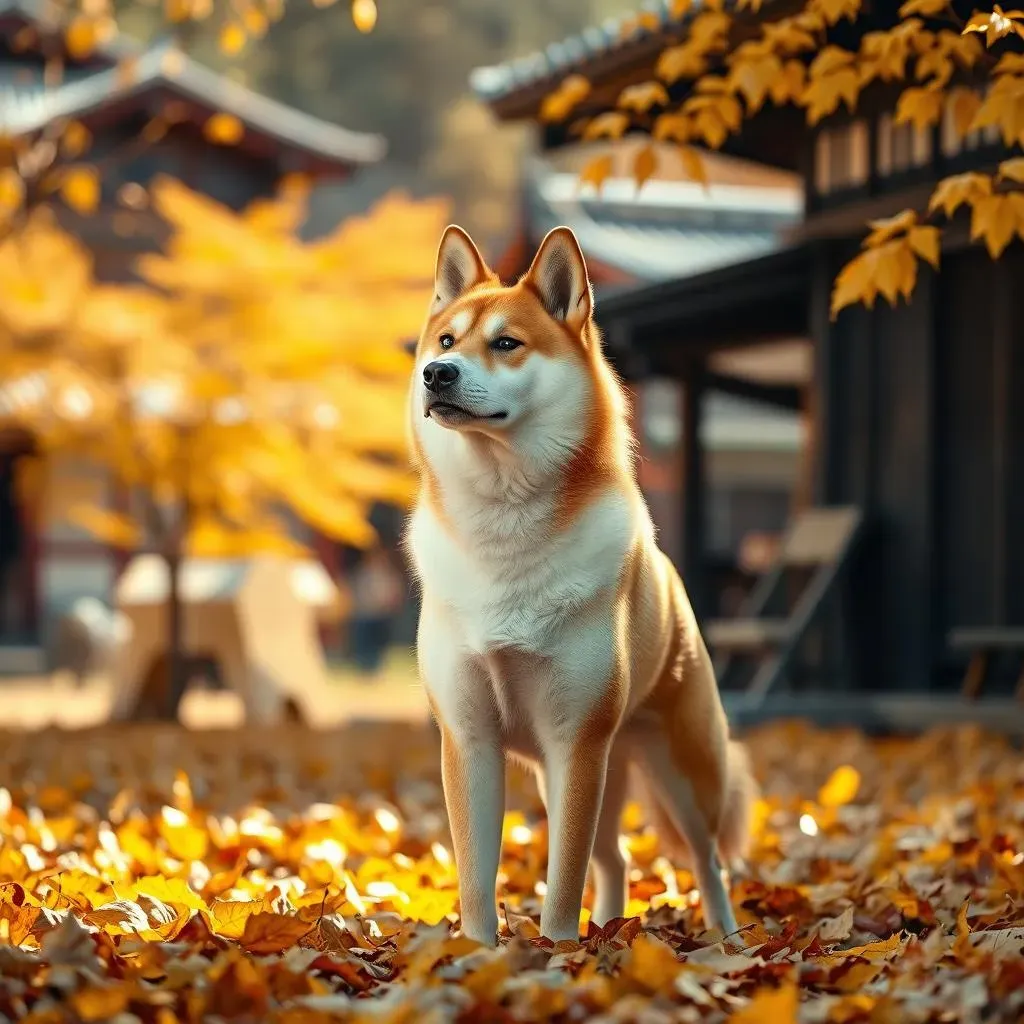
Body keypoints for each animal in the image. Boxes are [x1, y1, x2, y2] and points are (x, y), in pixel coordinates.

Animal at [403, 224, 757, 942]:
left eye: (506, 344)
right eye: (446, 341)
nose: (436, 374)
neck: (505, 533)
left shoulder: (577, 742)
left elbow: (563, 878)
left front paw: (558, 949)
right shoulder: (471, 739)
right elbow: (477, 875)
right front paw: (479, 952)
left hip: (679, 772)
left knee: (707, 858)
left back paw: (726, 935)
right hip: (585, 772)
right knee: (615, 859)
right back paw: (612, 927)